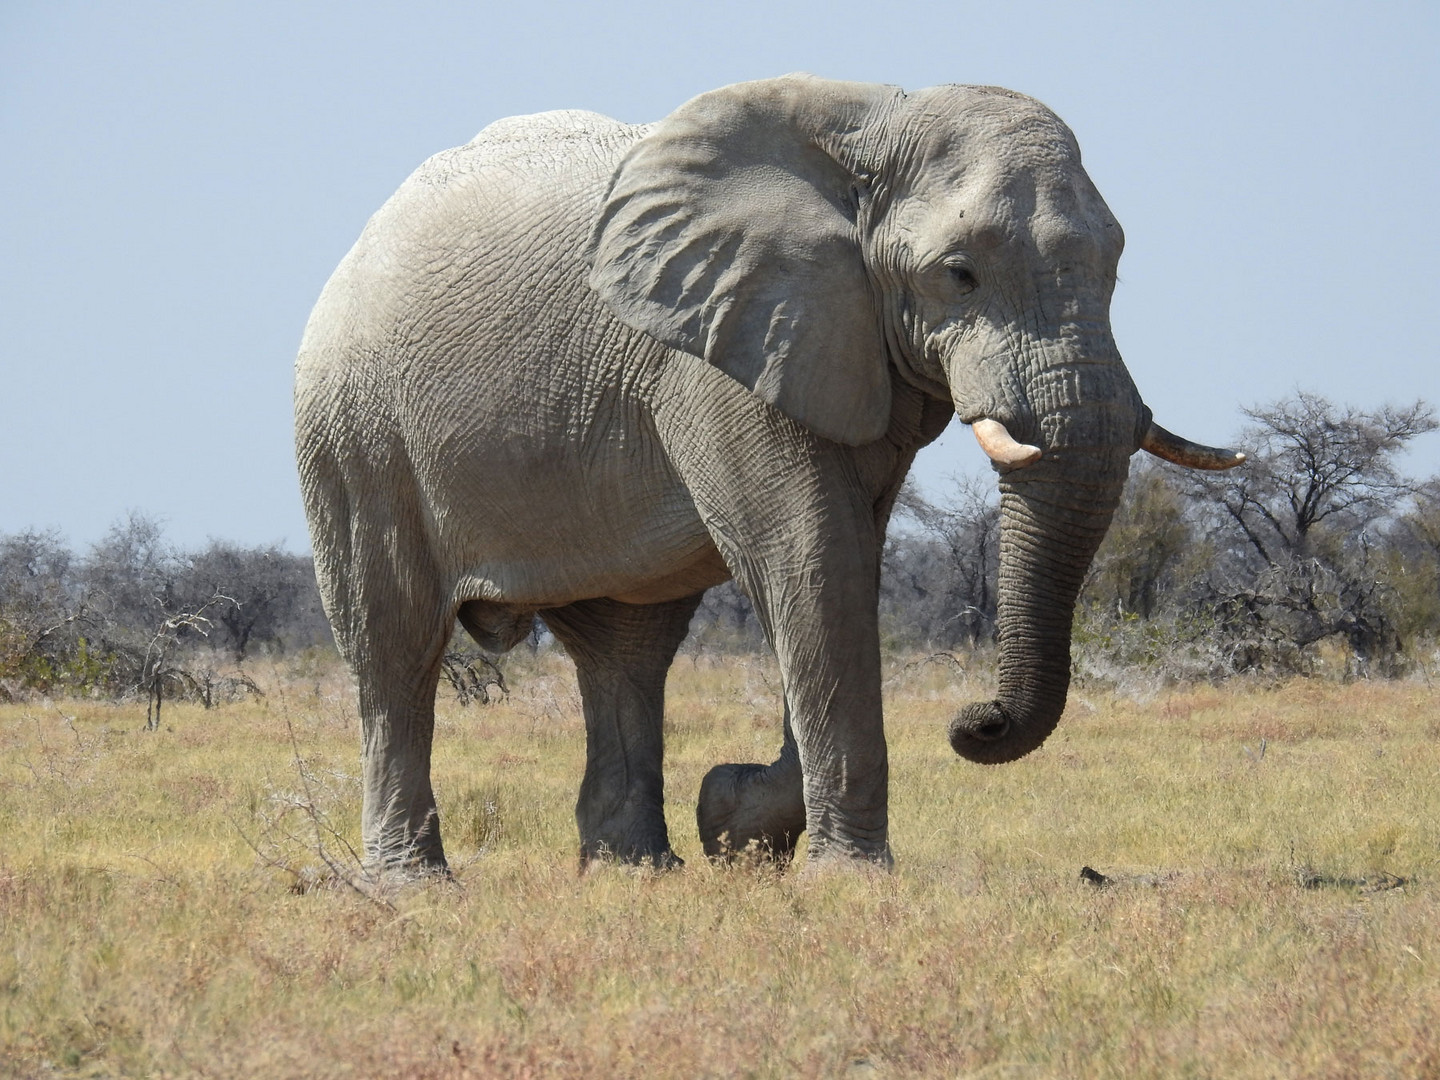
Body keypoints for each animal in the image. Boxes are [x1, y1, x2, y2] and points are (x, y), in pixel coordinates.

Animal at [292, 74, 1238, 869]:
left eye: (1115, 267)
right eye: (958, 274)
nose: (976, 721)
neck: (871, 126)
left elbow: (841, 559)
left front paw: (735, 821)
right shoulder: (717, 353)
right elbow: (813, 559)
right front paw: (842, 875)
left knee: (626, 650)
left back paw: (637, 871)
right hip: (355, 430)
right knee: (394, 645)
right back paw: (411, 887)